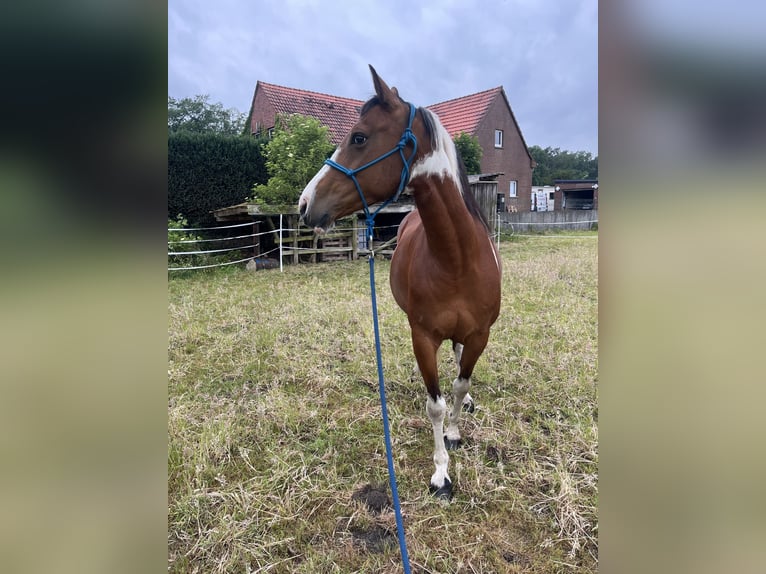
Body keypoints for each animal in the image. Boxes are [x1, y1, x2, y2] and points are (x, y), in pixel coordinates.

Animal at [299, 66, 502, 500]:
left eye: (359, 137)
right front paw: (441, 473)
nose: (305, 203)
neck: (457, 260)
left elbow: (460, 385)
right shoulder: (422, 337)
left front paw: (456, 431)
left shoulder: (480, 334)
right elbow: (435, 403)